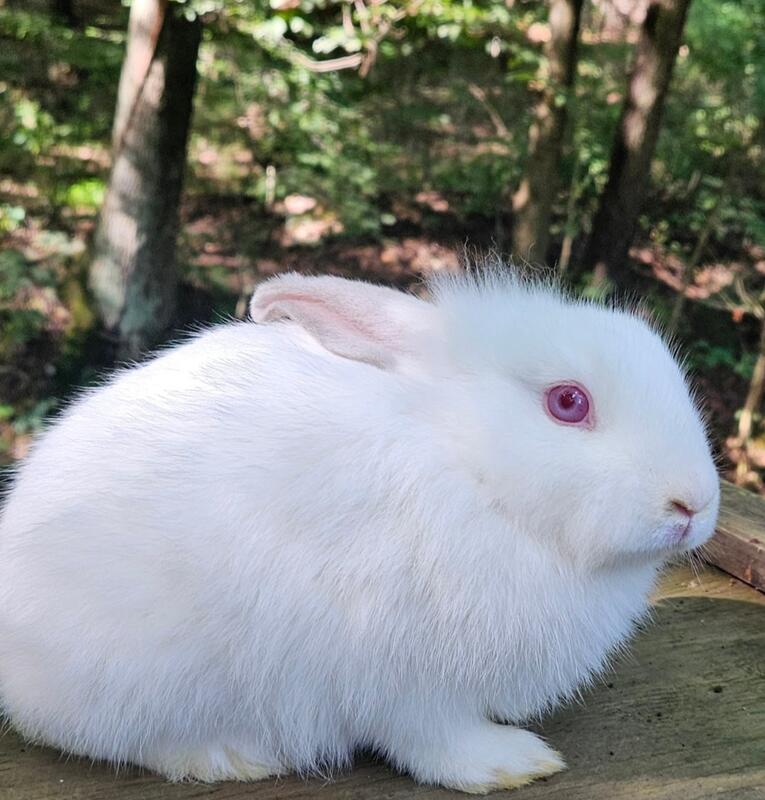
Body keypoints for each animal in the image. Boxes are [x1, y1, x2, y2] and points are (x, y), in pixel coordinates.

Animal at [0, 269, 719, 793]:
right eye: (568, 402)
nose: (694, 504)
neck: (469, 465)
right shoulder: (401, 677)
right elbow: (433, 740)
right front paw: (510, 763)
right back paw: (231, 756)